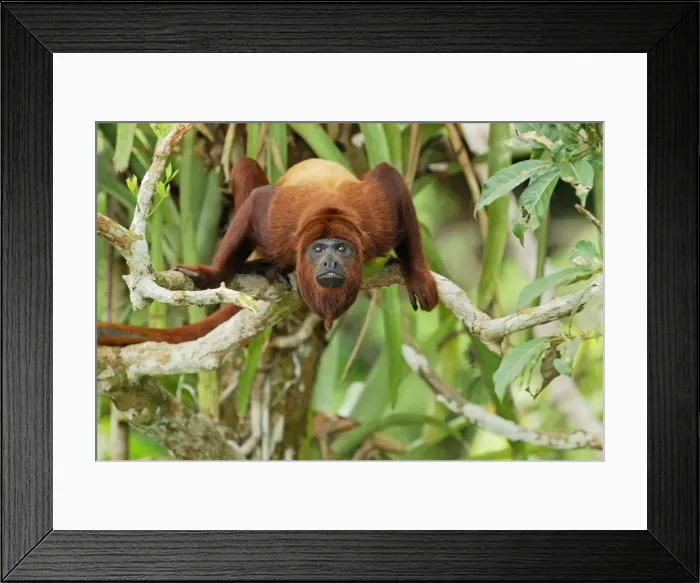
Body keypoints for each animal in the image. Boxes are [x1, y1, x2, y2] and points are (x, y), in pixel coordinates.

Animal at [97, 157, 439, 346]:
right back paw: (262, 267)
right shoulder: (278, 225)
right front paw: (212, 274)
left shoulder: (375, 222)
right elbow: (258, 201)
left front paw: (418, 274)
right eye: (318, 249)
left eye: (342, 248)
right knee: (244, 167)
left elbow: (389, 178)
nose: (330, 261)